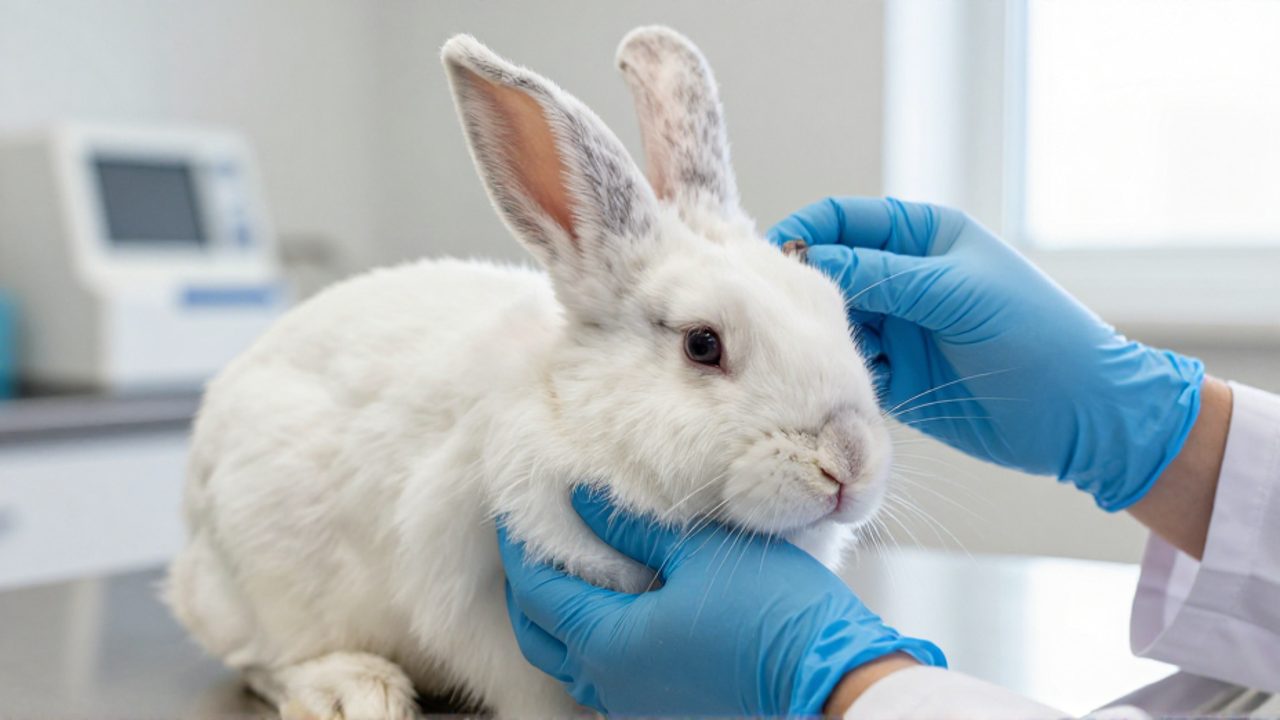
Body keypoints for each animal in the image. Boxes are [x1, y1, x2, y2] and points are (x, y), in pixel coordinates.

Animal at [164, 26, 891, 719]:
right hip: (264, 579)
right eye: (703, 344)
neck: (577, 419)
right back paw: (352, 691)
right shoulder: (488, 600)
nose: (849, 463)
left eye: (838, 312)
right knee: (261, 659)